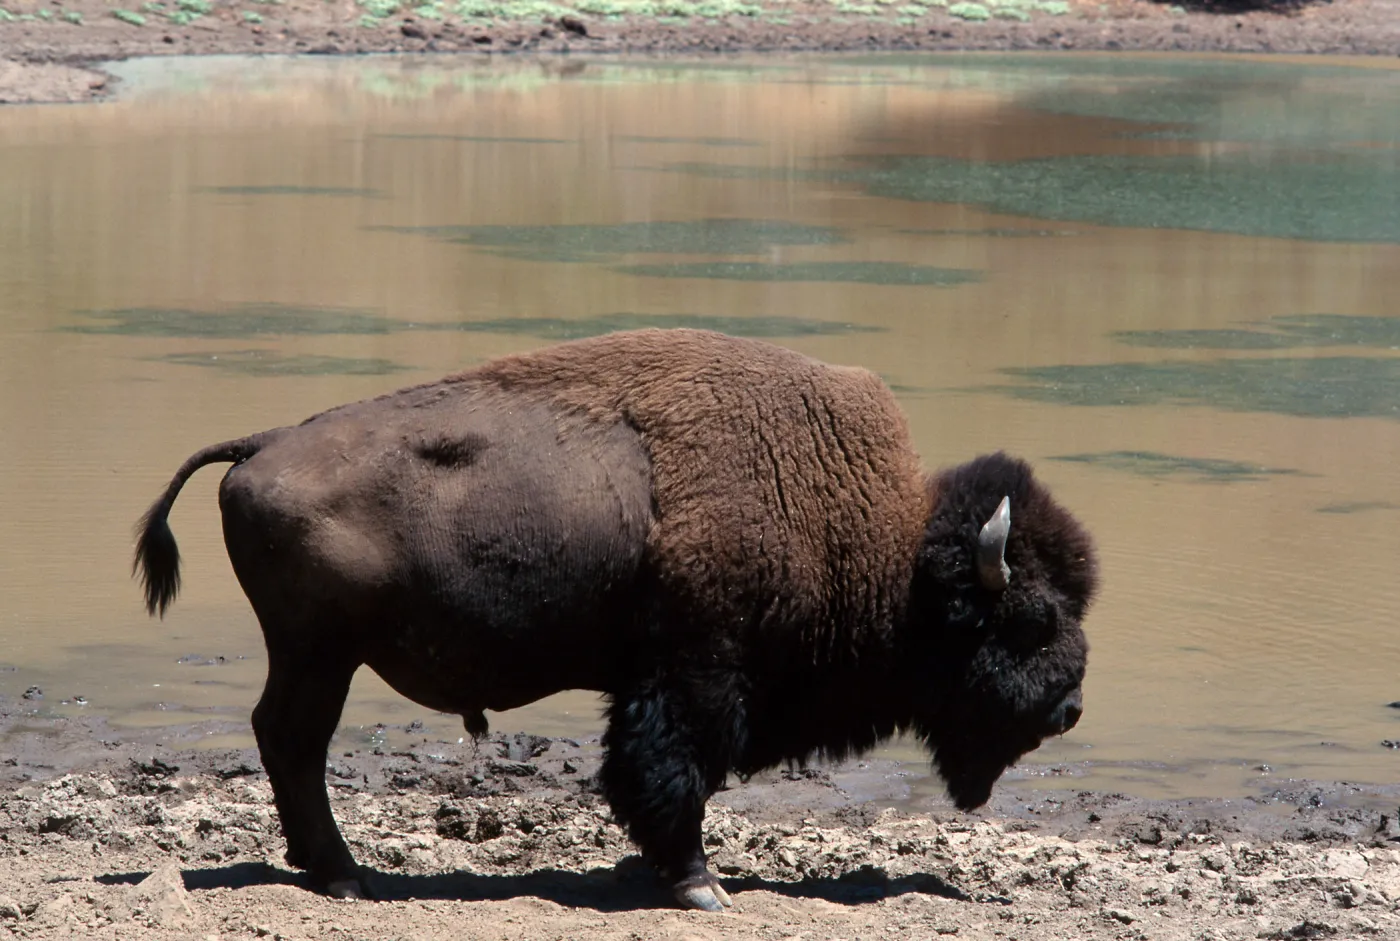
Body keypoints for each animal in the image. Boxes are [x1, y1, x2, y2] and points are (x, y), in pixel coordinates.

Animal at [135, 328, 1098, 910]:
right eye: (1029, 618)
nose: (1069, 708)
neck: (877, 540)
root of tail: (262, 444)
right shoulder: (695, 675)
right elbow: (674, 773)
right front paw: (701, 886)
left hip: (314, 654)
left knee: (283, 737)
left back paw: (330, 869)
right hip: (320, 653)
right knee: (295, 739)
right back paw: (344, 876)